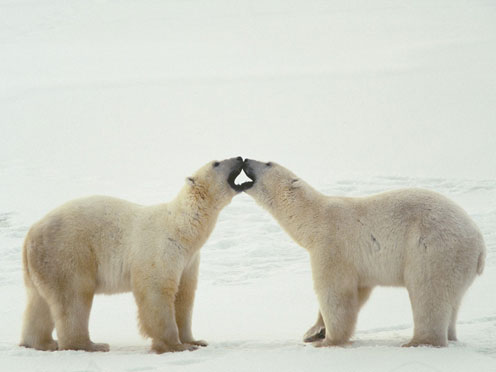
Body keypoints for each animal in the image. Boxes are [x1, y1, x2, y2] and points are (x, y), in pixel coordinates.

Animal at [21, 156, 246, 352]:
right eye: (216, 163)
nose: (239, 157)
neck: (182, 228)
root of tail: (31, 233)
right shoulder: (161, 249)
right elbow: (157, 292)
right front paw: (175, 345)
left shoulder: (189, 260)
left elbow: (185, 295)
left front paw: (195, 340)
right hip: (67, 252)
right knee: (74, 297)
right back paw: (90, 345)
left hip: (43, 263)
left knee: (39, 303)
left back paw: (40, 343)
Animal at [242, 158, 486, 348]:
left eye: (268, 163)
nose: (245, 160)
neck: (314, 218)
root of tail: (480, 243)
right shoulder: (360, 264)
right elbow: (358, 291)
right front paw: (313, 331)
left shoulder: (332, 245)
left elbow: (335, 293)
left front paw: (328, 340)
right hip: (457, 263)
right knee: (453, 300)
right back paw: (450, 336)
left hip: (434, 249)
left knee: (428, 292)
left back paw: (418, 341)